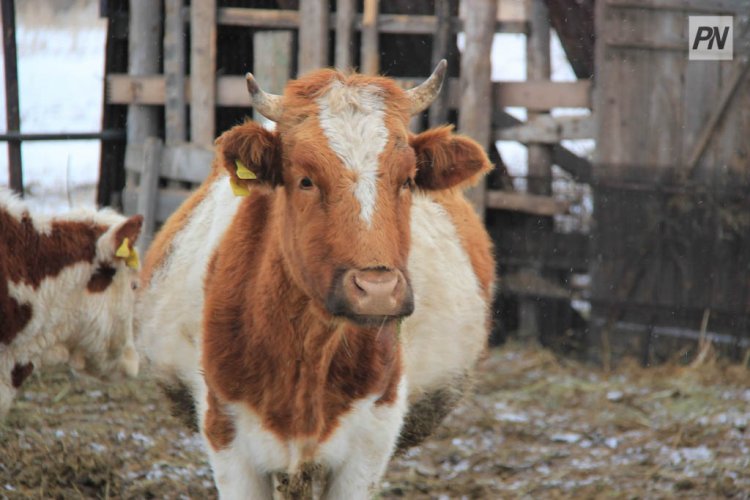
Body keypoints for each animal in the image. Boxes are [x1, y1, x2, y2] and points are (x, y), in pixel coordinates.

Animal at [138, 63, 496, 500]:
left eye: (408, 180)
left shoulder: (370, 445)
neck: (306, 349)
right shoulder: (226, 440)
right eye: (306, 180)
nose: (377, 291)